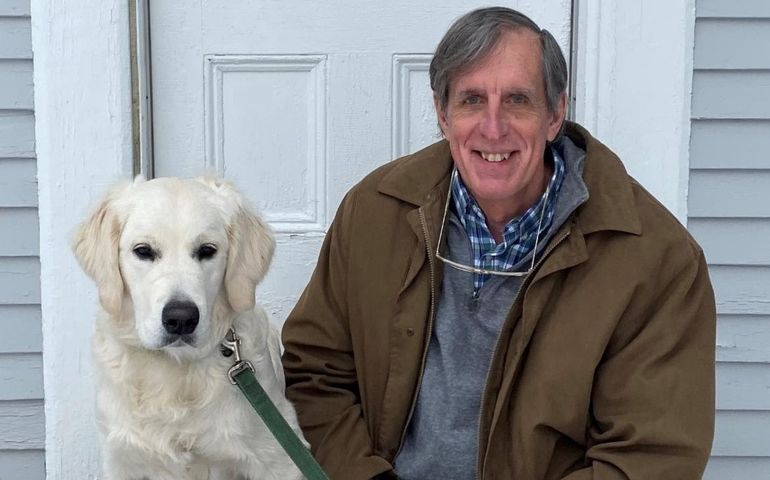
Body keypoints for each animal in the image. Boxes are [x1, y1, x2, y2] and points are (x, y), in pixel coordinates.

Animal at [73, 176, 306, 480]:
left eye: (207, 250)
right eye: (143, 251)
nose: (181, 318)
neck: (175, 373)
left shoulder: (278, 458)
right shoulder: (122, 459)